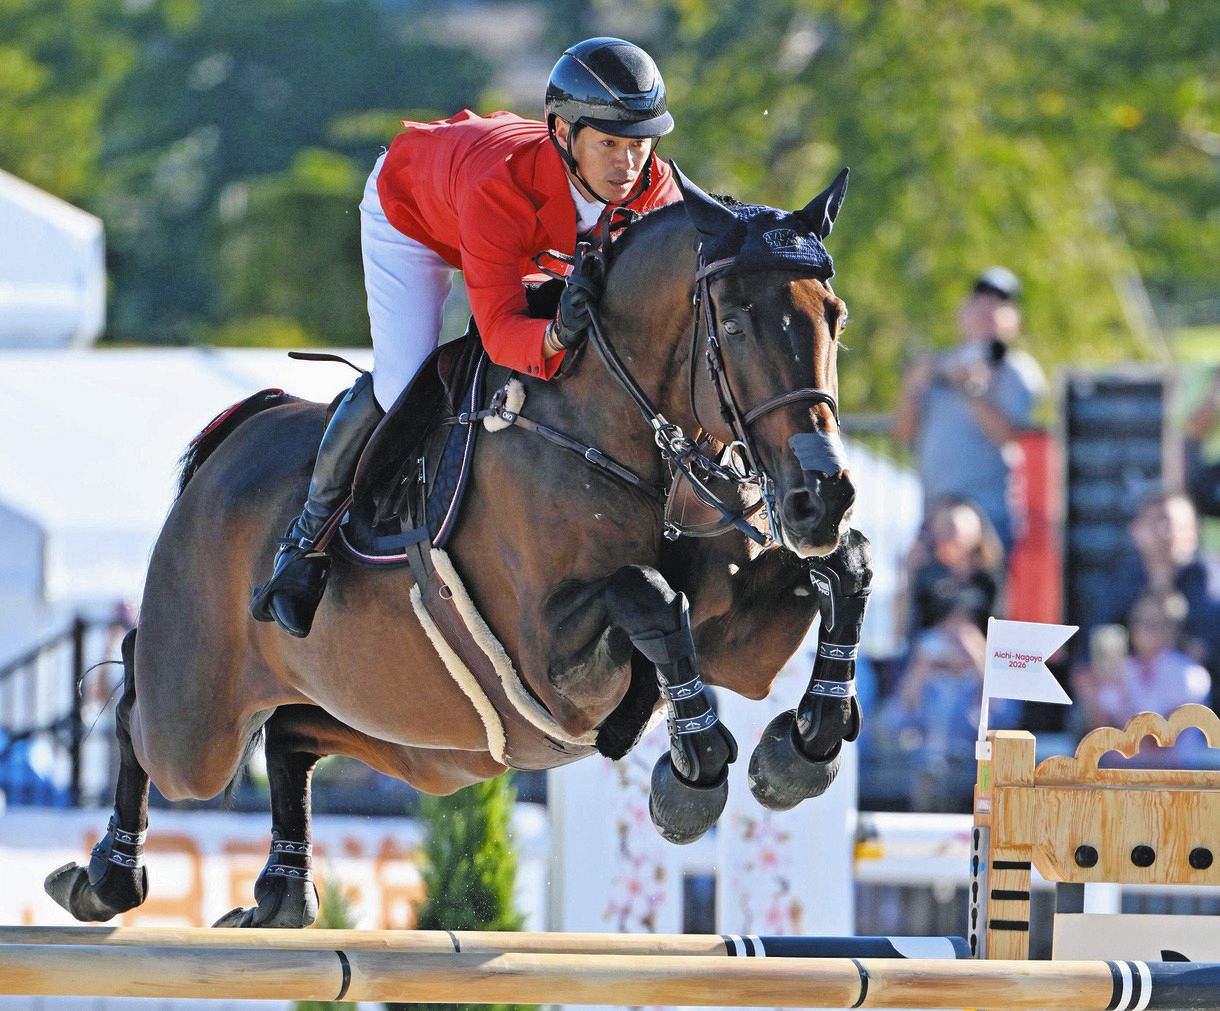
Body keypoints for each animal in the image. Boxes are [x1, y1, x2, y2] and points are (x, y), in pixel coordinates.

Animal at [44, 166, 873, 929]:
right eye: (734, 323)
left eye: (835, 317)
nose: (819, 496)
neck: (613, 427)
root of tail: (237, 435)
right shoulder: (551, 658)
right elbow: (651, 596)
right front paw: (692, 774)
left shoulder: (740, 637)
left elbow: (844, 567)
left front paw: (801, 749)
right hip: (200, 727)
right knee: (137, 702)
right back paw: (104, 877)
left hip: (419, 741)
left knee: (290, 732)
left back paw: (279, 893)